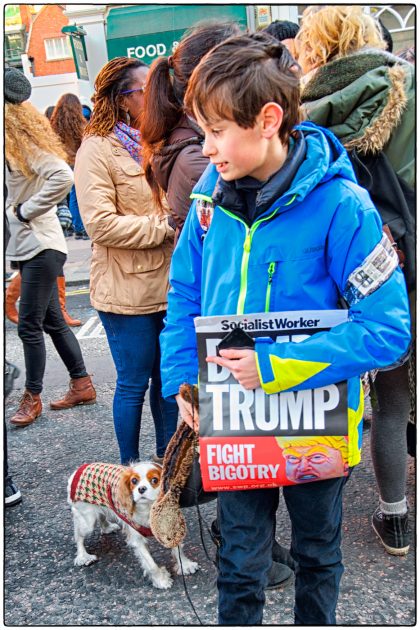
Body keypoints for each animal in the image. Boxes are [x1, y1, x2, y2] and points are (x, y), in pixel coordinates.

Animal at [68, 462, 199, 592]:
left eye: (155, 480)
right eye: (134, 481)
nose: (141, 489)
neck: (149, 508)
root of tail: (81, 468)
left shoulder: (170, 527)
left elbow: (178, 551)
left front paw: (186, 566)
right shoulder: (137, 540)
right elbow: (151, 564)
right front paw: (161, 580)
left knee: (101, 516)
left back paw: (107, 527)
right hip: (87, 521)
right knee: (78, 536)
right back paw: (83, 556)